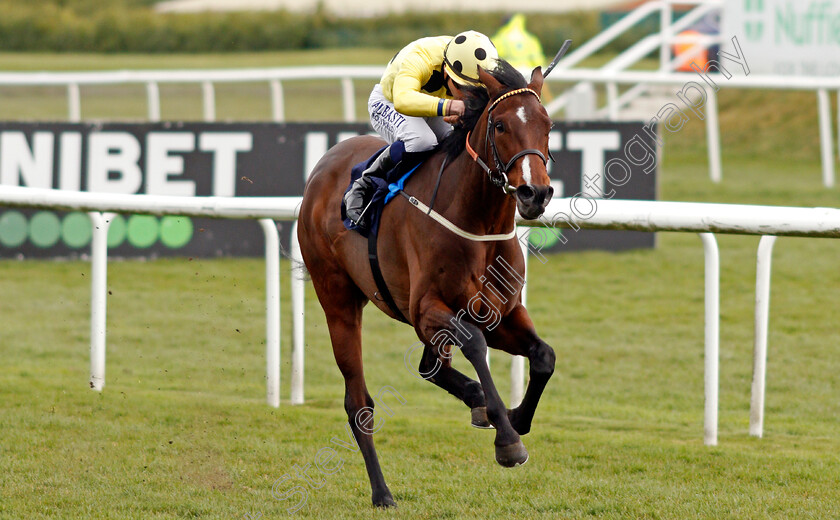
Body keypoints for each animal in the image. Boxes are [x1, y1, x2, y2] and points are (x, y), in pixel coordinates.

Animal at [296, 61, 556, 508]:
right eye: (501, 125)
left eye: (548, 125)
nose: (534, 192)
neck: (477, 223)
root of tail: (322, 167)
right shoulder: (426, 309)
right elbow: (475, 344)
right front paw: (507, 440)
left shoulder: (500, 312)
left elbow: (543, 356)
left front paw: (514, 417)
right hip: (338, 303)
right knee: (358, 404)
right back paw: (382, 492)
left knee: (430, 365)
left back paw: (475, 400)